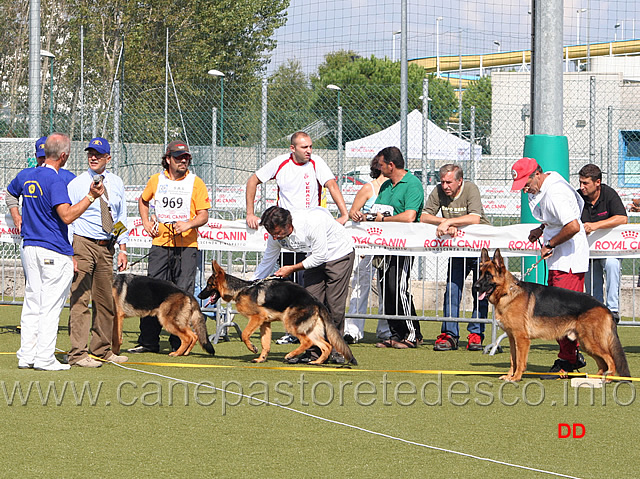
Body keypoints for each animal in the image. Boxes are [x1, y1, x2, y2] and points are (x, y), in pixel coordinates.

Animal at [196, 260, 356, 366]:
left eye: (208, 285)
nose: (199, 296)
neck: (241, 289)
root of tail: (316, 301)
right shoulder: (265, 323)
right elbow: (265, 344)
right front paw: (261, 358)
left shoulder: (256, 318)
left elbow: (244, 334)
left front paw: (252, 348)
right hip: (310, 329)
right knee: (326, 346)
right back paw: (317, 361)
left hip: (291, 324)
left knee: (307, 342)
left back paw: (291, 355)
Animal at [472, 249, 628, 380]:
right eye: (480, 274)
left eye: (488, 276)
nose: (475, 287)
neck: (508, 292)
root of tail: (604, 307)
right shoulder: (512, 338)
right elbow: (513, 360)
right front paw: (510, 376)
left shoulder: (522, 339)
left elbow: (520, 361)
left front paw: (516, 378)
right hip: (586, 344)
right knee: (602, 363)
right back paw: (594, 379)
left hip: (591, 342)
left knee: (610, 360)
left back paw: (608, 379)